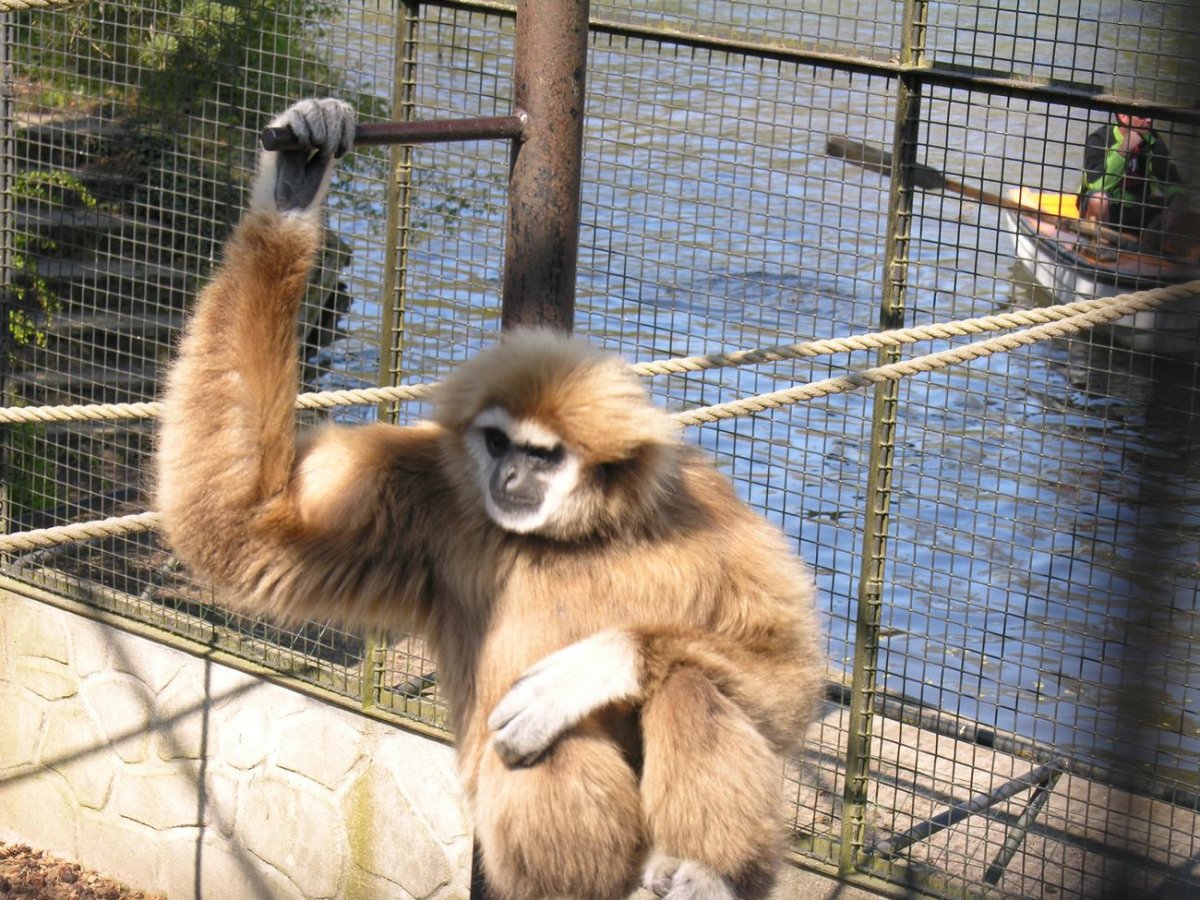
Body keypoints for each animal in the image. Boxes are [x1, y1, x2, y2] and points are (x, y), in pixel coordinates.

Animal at [155, 98, 824, 900]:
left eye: (541, 455)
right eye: (497, 443)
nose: (507, 482)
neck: (572, 534)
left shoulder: (709, 509)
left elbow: (788, 680)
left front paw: (595, 664)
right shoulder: (424, 494)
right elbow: (237, 526)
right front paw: (292, 187)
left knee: (692, 679)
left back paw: (706, 871)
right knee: (540, 743)